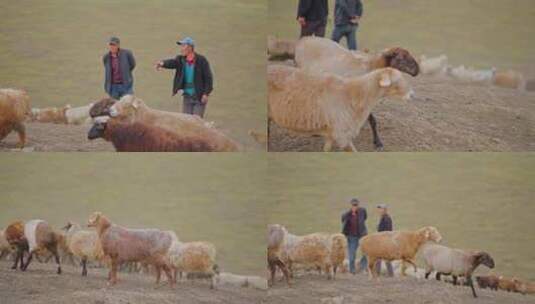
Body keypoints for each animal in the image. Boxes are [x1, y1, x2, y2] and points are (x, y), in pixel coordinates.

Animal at [268, 66, 414, 152]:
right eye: (397, 81)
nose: (412, 95)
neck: (355, 94)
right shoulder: (342, 134)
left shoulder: (331, 134)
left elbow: (326, 151)